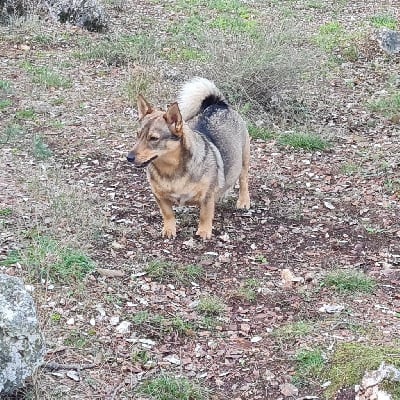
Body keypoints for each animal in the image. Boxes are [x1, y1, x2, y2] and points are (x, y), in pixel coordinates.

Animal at [126, 77, 250, 239]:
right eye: (137, 135)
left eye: (153, 138)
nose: (129, 157)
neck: (171, 170)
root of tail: (218, 104)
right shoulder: (159, 197)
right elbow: (168, 214)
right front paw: (169, 229)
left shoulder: (207, 197)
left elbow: (205, 215)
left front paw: (204, 231)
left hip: (244, 159)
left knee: (243, 181)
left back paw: (243, 201)